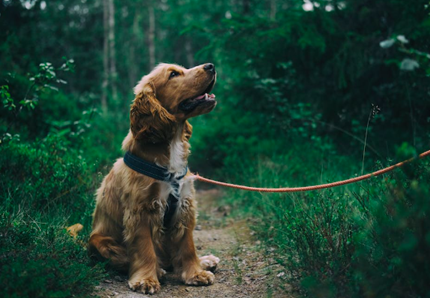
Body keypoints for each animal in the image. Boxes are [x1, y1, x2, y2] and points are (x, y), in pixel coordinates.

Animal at [88, 62, 220, 294]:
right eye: (174, 74)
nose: (211, 65)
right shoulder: (141, 210)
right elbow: (144, 248)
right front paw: (146, 280)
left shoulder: (184, 205)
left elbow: (187, 246)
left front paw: (196, 273)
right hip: (100, 241)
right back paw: (158, 270)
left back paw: (205, 261)